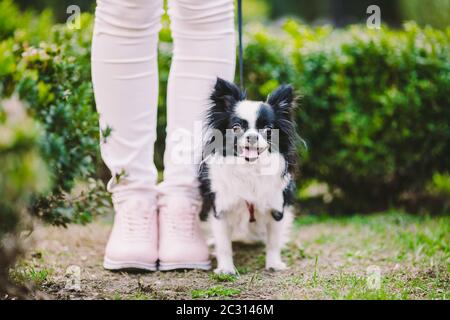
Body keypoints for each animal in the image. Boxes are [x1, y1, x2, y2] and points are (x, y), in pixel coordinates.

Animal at [198, 78, 298, 276]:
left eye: (268, 129)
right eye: (236, 128)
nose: (252, 136)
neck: (250, 168)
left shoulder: (276, 208)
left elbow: (273, 241)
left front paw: (274, 264)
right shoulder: (221, 208)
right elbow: (224, 245)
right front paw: (226, 268)